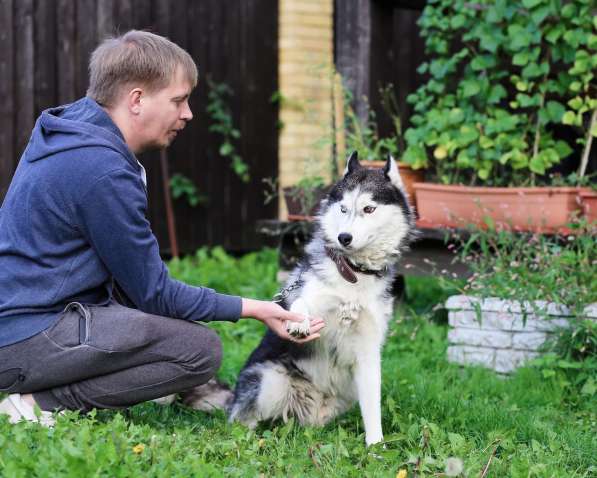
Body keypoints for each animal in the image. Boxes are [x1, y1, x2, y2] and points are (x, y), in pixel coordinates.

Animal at [228, 152, 414, 444]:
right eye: (343, 209)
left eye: (369, 209)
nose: (343, 237)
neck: (353, 275)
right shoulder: (309, 295)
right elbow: (301, 303)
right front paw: (299, 323)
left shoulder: (368, 353)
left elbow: (373, 409)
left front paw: (376, 446)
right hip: (268, 381)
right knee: (241, 419)